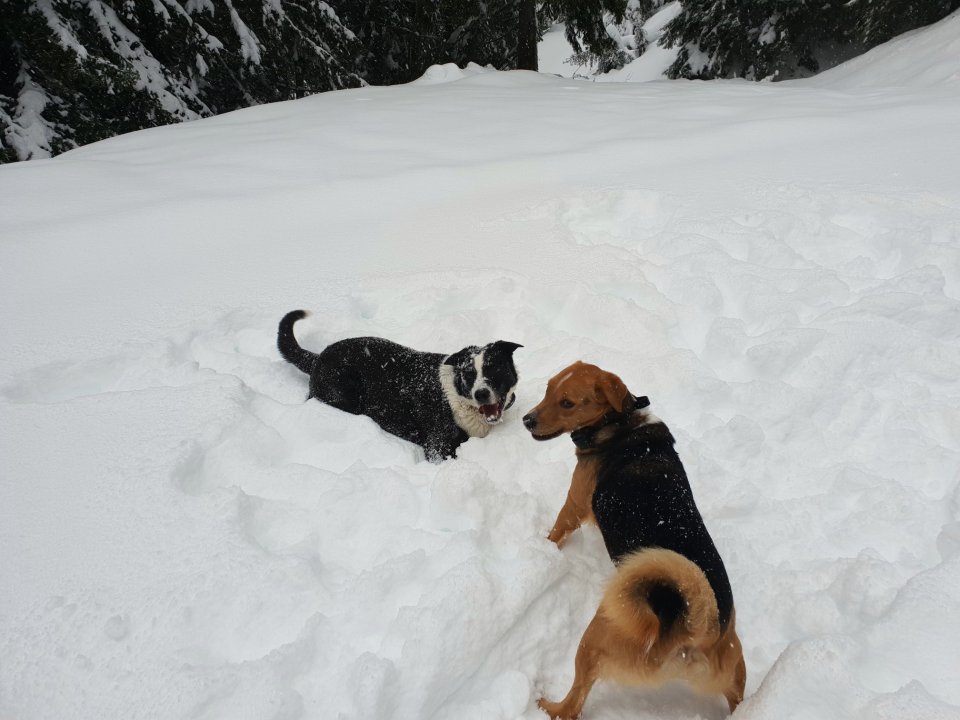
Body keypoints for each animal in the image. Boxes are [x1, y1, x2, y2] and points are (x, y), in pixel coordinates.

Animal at [278, 310, 520, 462]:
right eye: (469, 375)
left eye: (493, 369)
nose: (481, 394)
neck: (459, 398)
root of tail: (318, 357)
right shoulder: (437, 447)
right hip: (342, 396)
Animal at [524, 362, 744, 716]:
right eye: (548, 388)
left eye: (567, 403)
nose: (526, 420)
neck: (620, 424)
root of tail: (696, 630)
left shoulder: (573, 506)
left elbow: (555, 532)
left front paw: (541, 548)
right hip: (735, 669)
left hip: (597, 636)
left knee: (572, 706)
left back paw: (545, 704)